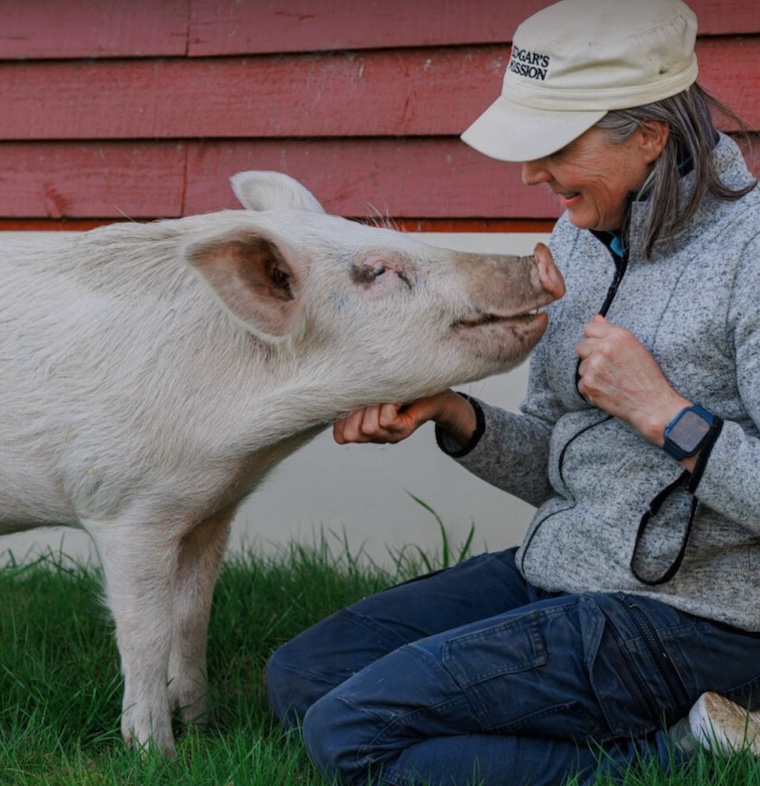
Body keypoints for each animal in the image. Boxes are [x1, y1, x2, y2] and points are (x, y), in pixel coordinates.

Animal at [0, 171, 564, 755]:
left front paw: (203, 729)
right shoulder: (126, 510)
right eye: (377, 270)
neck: (249, 442)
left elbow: (191, 618)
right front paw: (157, 755)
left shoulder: (210, 510)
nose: (534, 257)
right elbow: (146, 633)